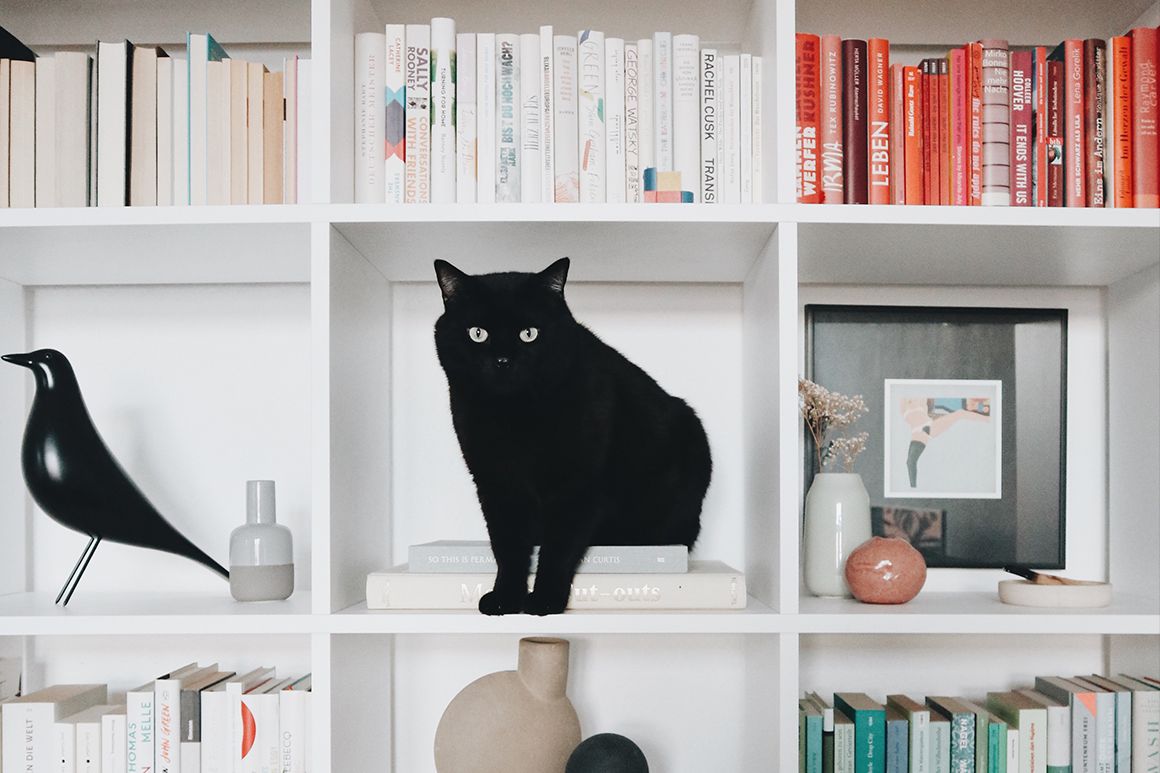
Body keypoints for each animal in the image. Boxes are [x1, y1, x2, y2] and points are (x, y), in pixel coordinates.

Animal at [433, 257, 709, 612]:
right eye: (477, 333)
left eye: (529, 334)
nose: (503, 361)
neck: (516, 416)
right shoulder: (496, 484)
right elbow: (507, 548)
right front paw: (506, 597)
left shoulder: (577, 484)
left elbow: (558, 549)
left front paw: (545, 600)